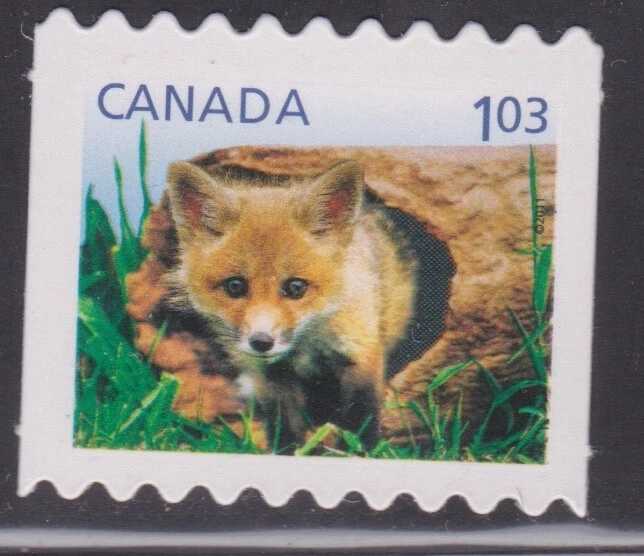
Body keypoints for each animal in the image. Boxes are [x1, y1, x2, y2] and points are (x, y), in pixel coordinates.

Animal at [165, 159, 417, 452]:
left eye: (296, 287)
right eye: (235, 286)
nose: (261, 342)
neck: (306, 346)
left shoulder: (360, 353)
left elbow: (361, 419)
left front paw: (363, 453)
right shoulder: (272, 378)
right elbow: (285, 430)